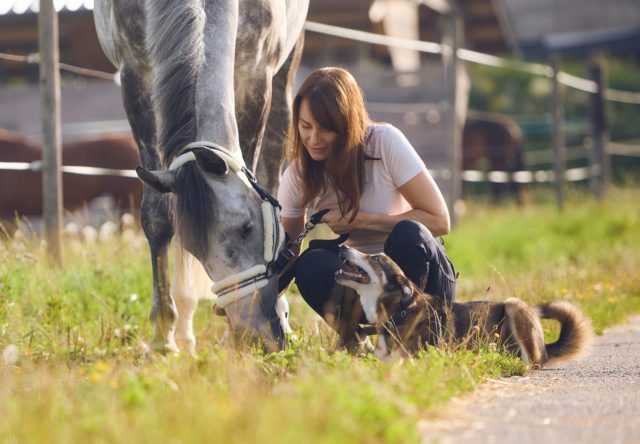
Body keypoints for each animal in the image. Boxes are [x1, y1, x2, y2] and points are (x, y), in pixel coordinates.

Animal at [92, 0, 310, 354]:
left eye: (247, 228)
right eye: (196, 248)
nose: (253, 330)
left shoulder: (255, 76)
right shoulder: (135, 75)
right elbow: (158, 217)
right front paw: (162, 338)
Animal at [338, 245, 592, 366]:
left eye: (376, 258)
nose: (342, 247)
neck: (399, 312)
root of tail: (546, 349)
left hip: (513, 305)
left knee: (530, 361)